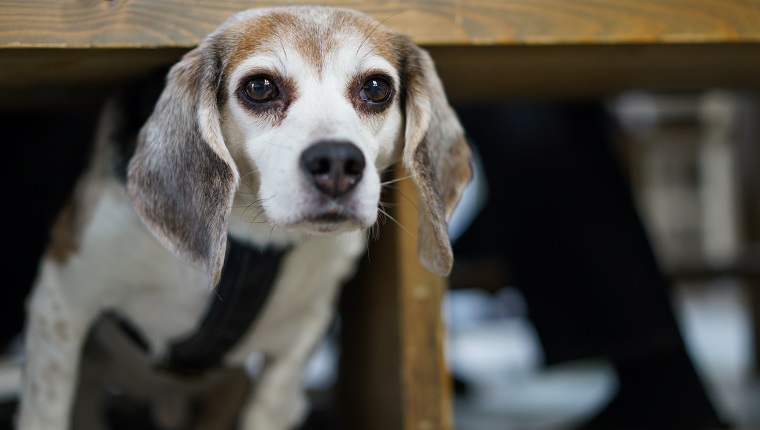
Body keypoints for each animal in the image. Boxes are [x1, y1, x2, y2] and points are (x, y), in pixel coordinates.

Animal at [16, 5, 470, 428]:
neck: (252, 238)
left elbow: (267, 408)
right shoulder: (61, 301)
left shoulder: (302, 332)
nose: (338, 163)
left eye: (376, 88)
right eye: (260, 87)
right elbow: (47, 411)